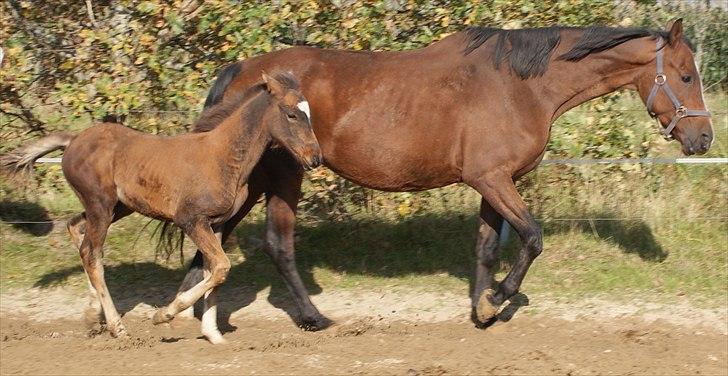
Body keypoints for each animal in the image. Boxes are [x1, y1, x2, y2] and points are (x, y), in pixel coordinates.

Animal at [2, 72, 322, 344]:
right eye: (292, 114)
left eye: (309, 113)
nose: (315, 157)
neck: (223, 157)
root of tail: (73, 140)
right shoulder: (190, 220)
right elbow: (221, 267)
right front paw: (164, 315)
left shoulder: (217, 223)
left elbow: (214, 272)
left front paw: (213, 334)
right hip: (100, 206)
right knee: (91, 253)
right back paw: (117, 327)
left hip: (116, 208)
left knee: (77, 231)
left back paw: (93, 316)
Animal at [179, 19, 712, 328]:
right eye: (687, 75)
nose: (704, 139)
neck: (520, 86)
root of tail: (244, 70)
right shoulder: (494, 180)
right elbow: (533, 238)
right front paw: (497, 301)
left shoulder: (492, 181)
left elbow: (487, 249)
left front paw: (482, 309)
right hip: (283, 176)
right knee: (276, 243)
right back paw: (311, 317)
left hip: (251, 181)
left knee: (213, 233)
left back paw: (191, 306)